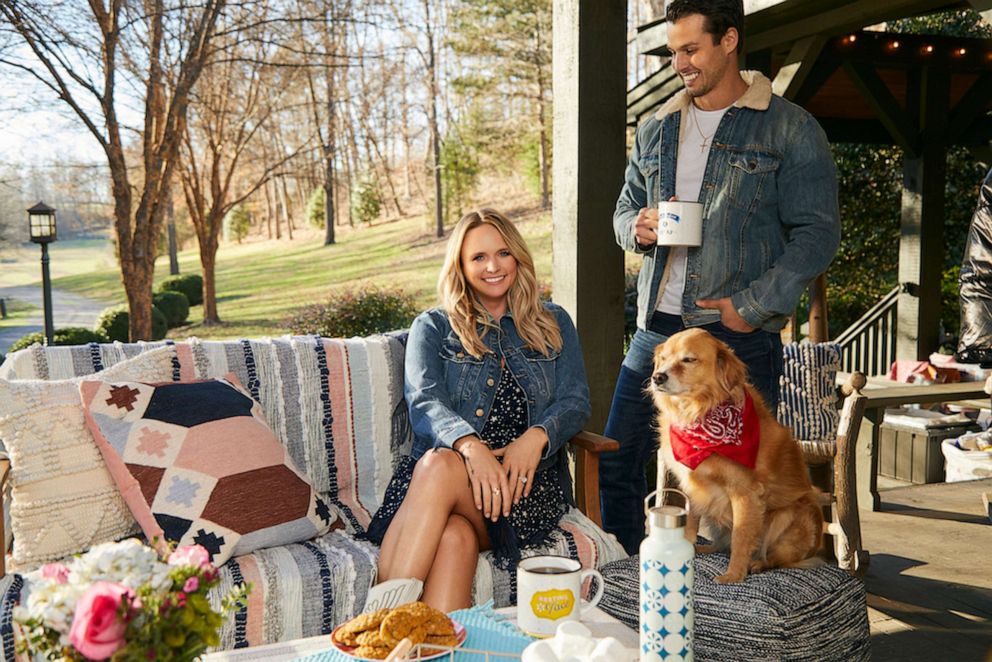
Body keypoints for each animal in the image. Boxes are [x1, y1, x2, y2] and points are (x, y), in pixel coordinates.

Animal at [652, 330, 820, 584]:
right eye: (663, 358)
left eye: (688, 359)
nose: (657, 377)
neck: (700, 413)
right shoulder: (692, 486)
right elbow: (690, 523)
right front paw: (687, 551)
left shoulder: (744, 493)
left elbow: (741, 538)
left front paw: (732, 575)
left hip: (789, 516)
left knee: (777, 558)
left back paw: (758, 564)